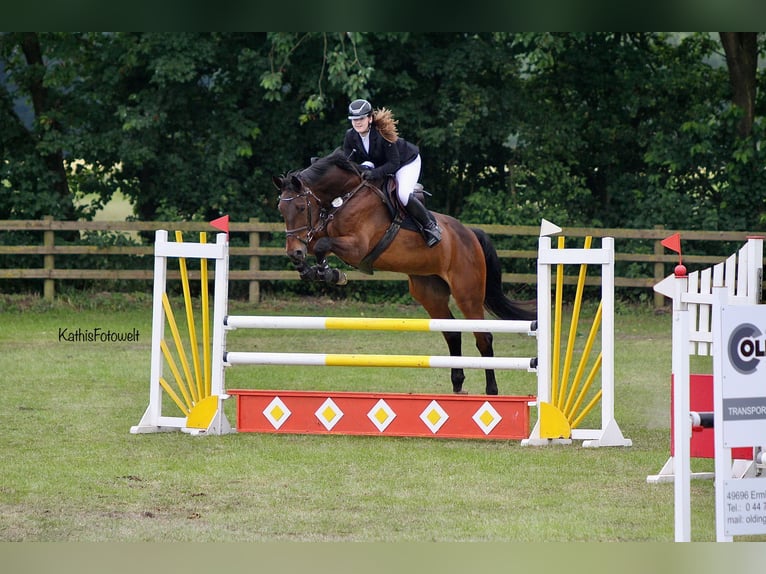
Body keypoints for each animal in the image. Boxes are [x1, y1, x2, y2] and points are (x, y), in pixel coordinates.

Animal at [272, 148, 536, 396]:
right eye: (281, 210)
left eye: (299, 207)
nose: (294, 252)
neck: (345, 196)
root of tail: (470, 233)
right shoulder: (318, 231)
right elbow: (315, 243)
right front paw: (312, 270)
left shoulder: (357, 247)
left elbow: (322, 245)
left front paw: (330, 274)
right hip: (429, 292)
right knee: (452, 332)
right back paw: (458, 384)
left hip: (467, 293)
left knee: (483, 337)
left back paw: (492, 390)